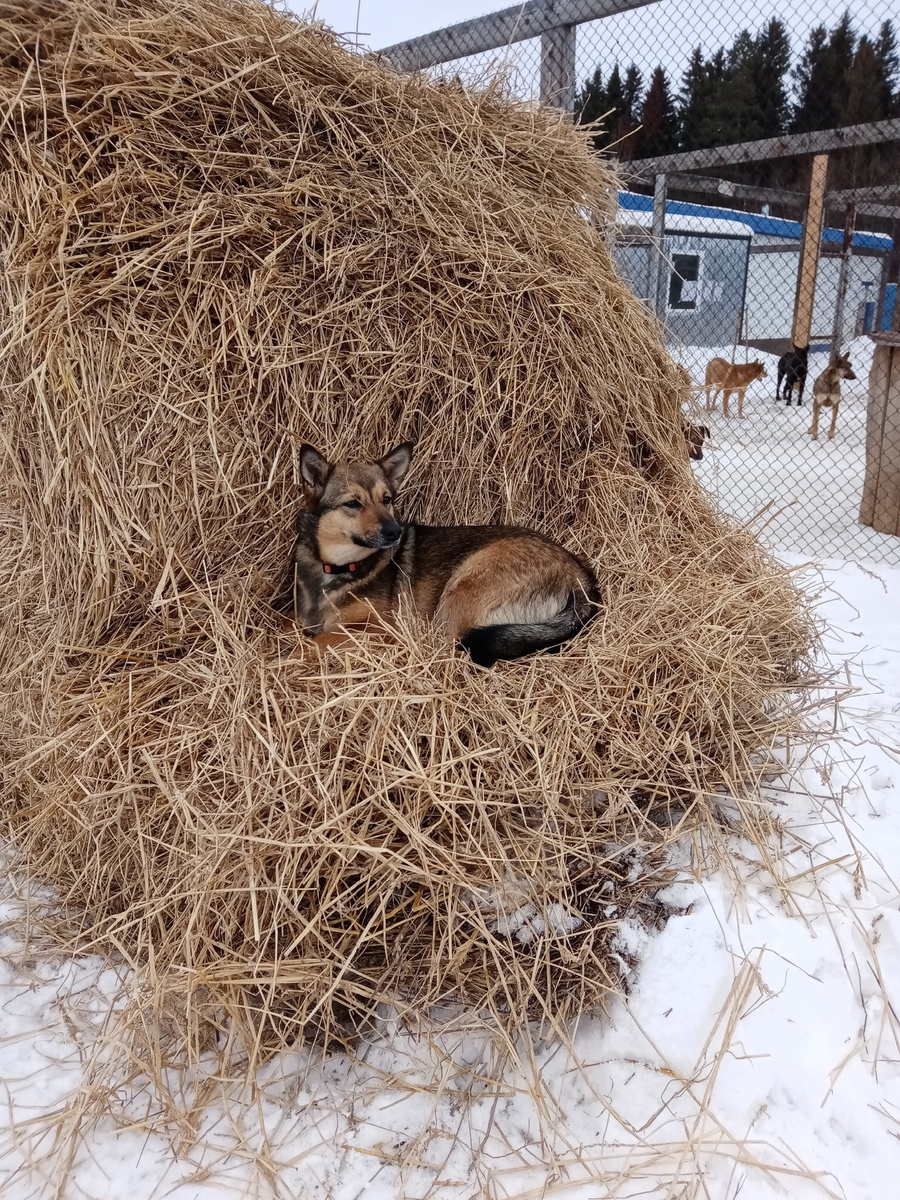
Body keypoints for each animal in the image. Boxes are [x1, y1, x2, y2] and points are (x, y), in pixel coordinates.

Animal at [274, 441, 600, 667]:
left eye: (387, 499)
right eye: (353, 504)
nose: (395, 532)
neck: (338, 568)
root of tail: (580, 576)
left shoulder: (379, 630)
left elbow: (318, 641)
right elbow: (287, 625)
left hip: (463, 588)